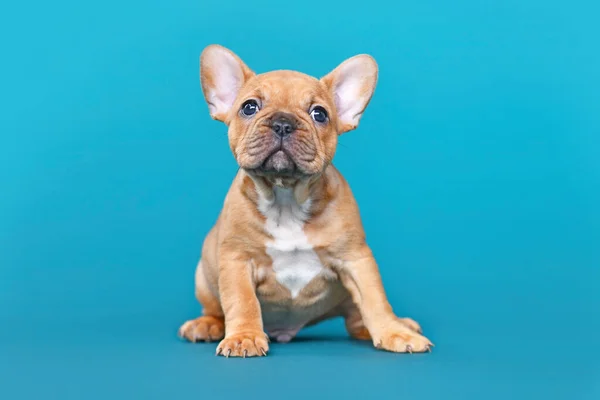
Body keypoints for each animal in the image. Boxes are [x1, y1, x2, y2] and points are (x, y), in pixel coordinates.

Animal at [176, 45, 434, 358]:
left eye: (319, 114)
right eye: (249, 107)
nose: (283, 123)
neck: (285, 199)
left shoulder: (356, 258)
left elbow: (375, 299)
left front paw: (394, 331)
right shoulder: (237, 260)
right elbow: (242, 301)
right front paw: (244, 337)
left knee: (356, 318)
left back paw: (397, 324)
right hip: (204, 275)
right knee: (216, 309)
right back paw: (207, 325)